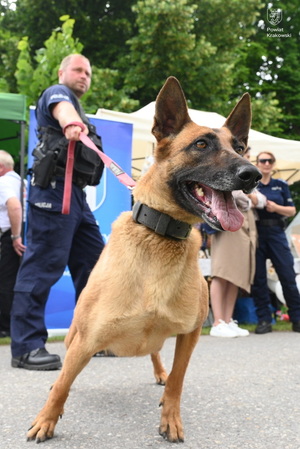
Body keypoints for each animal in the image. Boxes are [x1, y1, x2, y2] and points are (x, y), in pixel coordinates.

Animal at [26, 76, 260, 440]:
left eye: (239, 147)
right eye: (202, 145)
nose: (253, 174)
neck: (160, 234)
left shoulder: (190, 334)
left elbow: (178, 380)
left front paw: (171, 418)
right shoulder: (85, 338)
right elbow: (64, 383)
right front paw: (46, 420)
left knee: (156, 355)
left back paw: (160, 374)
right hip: (76, 334)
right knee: (69, 370)